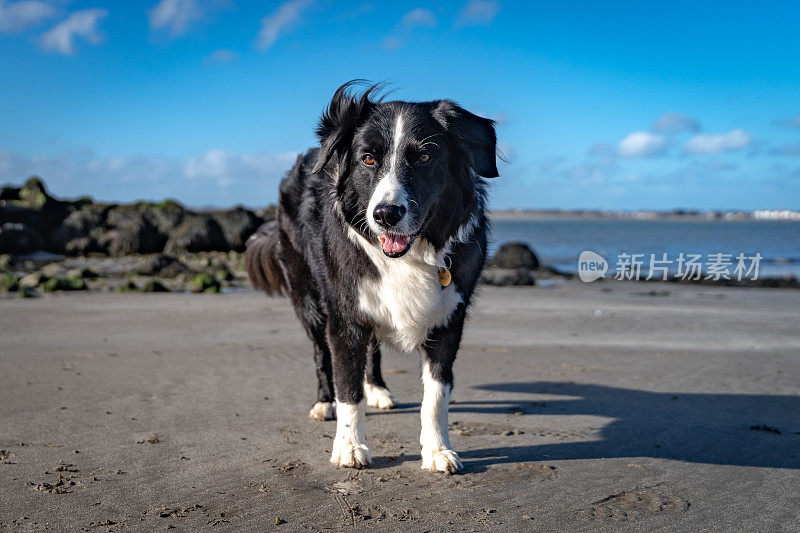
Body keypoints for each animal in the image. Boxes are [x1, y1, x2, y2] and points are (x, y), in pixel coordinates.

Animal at [247, 81, 496, 472]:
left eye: (424, 157)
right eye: (367, 159)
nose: (386, 214)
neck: (411, 256)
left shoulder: (448, 319)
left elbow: (436, 394)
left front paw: (437, 450)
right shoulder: (344, 315)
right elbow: (347, 386)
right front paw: (350, 446)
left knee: (374, 350)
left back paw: (378, 389)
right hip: (309, 298)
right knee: (321, 354)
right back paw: (324, 402)